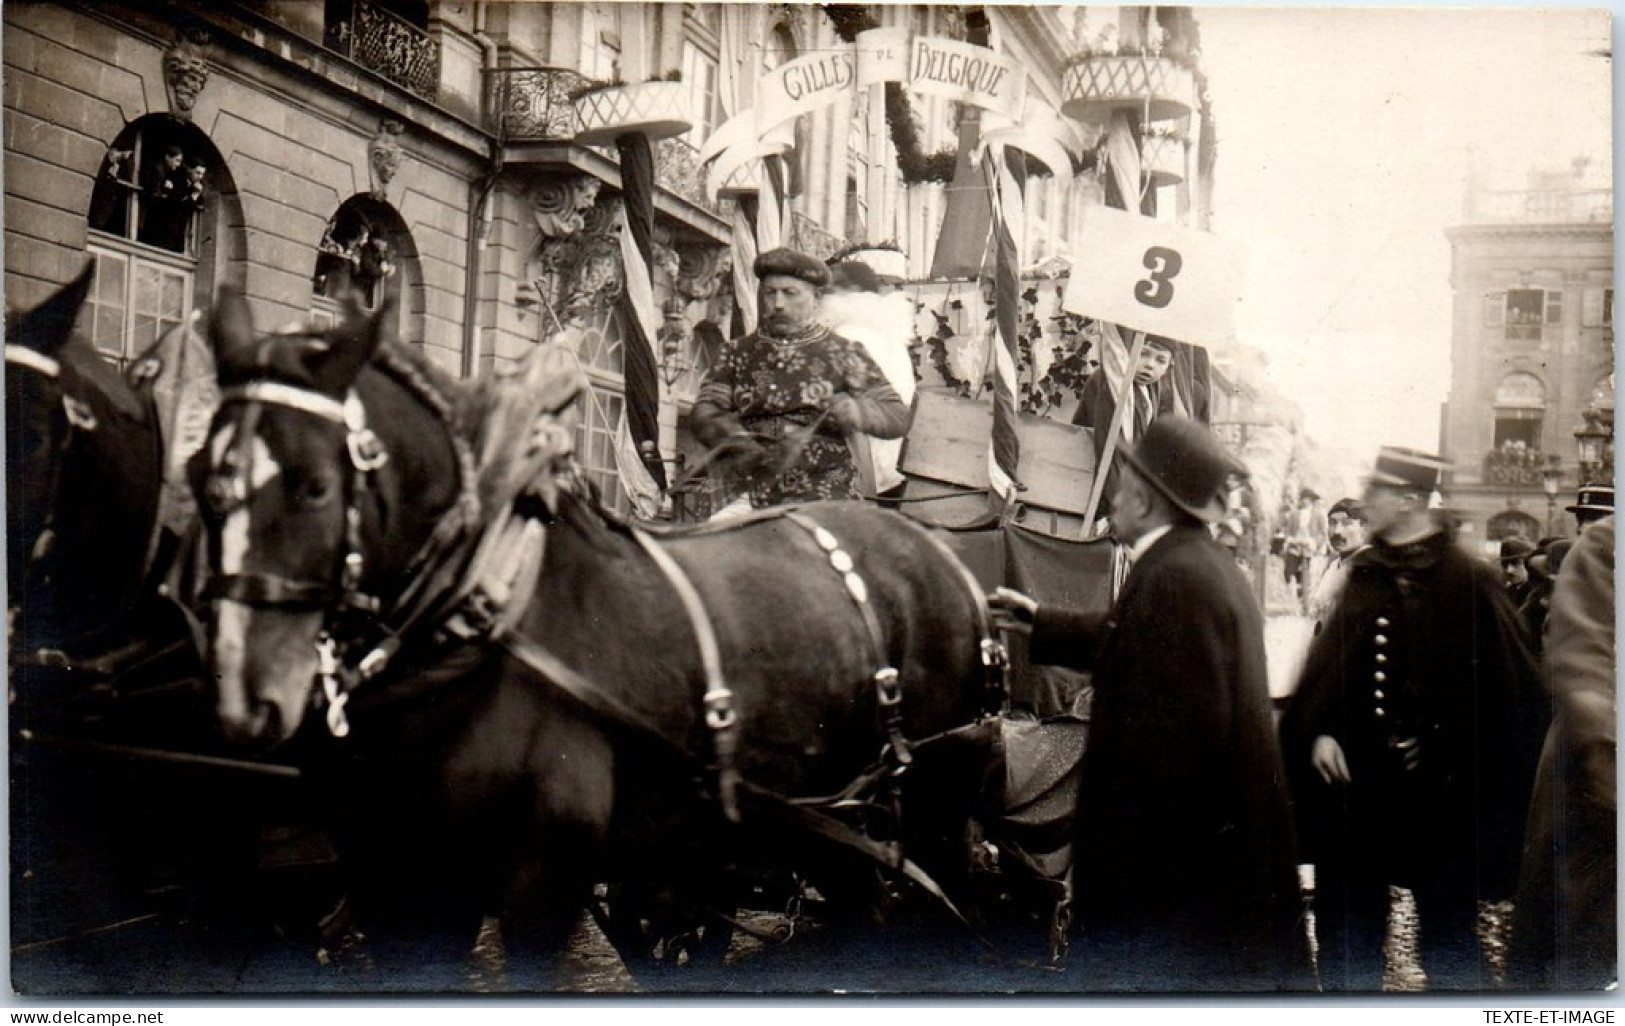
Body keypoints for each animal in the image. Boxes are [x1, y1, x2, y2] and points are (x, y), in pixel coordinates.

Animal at [198, 287, 1007, 988]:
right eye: (205, 476)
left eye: (314, 486)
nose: (248, 699)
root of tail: (939, 552)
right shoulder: (399, 879)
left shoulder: (541, 881)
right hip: (823, 818)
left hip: (935, 797)